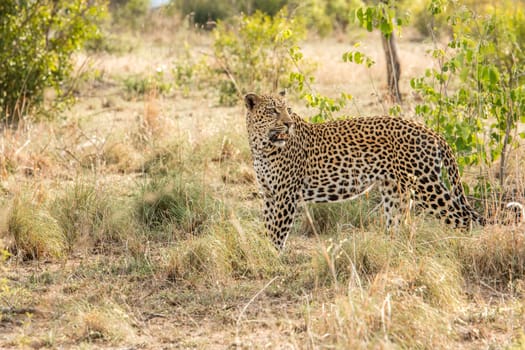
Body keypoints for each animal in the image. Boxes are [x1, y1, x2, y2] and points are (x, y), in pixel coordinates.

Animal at [247, 90, 524, 249]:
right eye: (272, 111)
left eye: (287, 110)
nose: (288, 123)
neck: (261, 145)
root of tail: (431, 132)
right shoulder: (269, 194)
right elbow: (268, 226)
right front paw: (266, 253)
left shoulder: (285, 195)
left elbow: (277, 231)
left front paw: (274, 260)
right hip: (396, 190)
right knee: (398, 223)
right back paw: (391, 252)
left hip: (428, 187)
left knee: (462, 220)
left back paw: (459, 249)